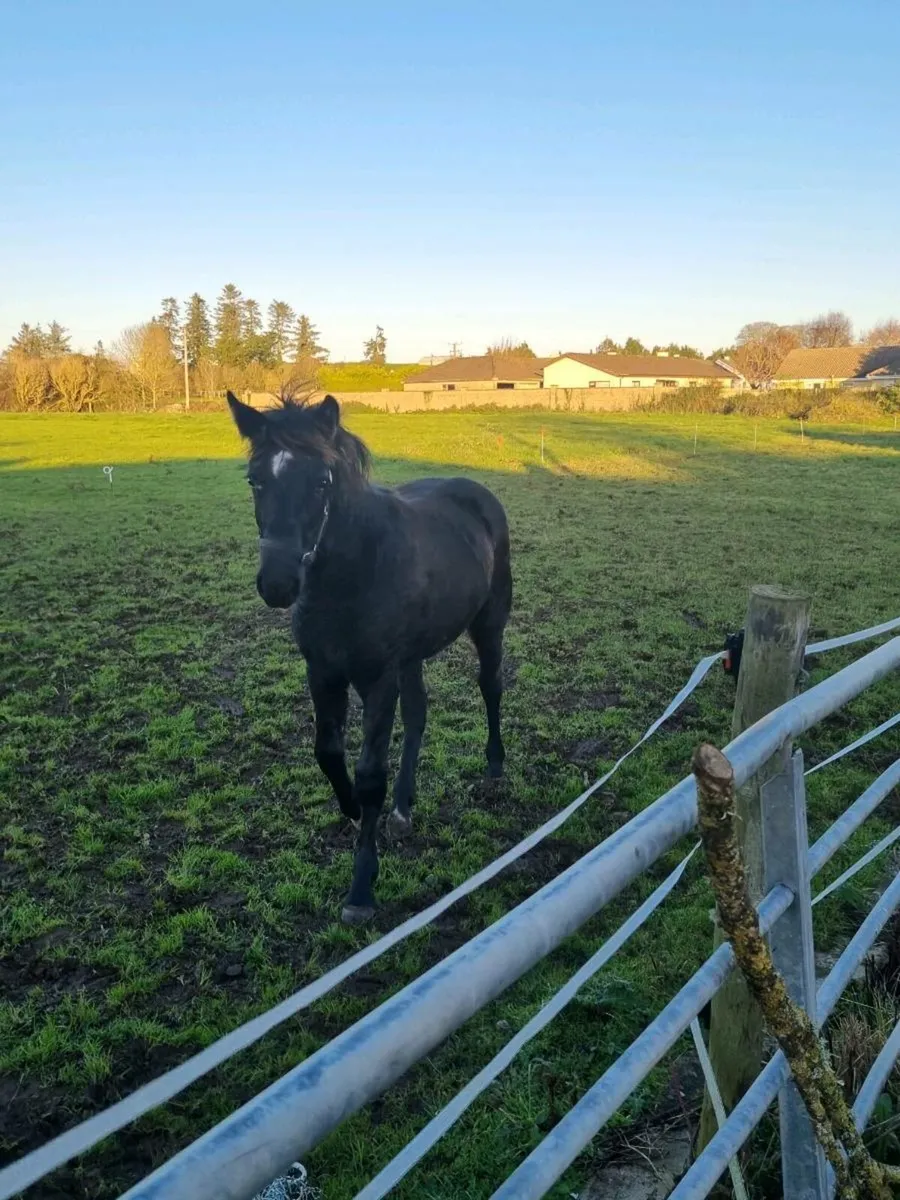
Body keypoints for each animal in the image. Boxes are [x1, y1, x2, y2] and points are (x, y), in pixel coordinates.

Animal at [227, 392, 512, 923]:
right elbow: (328, 753)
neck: (352, 574)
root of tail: (476, 491)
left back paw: (494, 769)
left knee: (491, 687)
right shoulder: (323, 673)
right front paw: (357, 813)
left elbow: (369, 775)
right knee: (419, 713)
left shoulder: (377, 679)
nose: (278, 584)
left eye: (322, 481)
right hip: (412, 657)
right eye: (255, 479)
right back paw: (402, 809)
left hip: (489, 624)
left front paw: (361, 889)